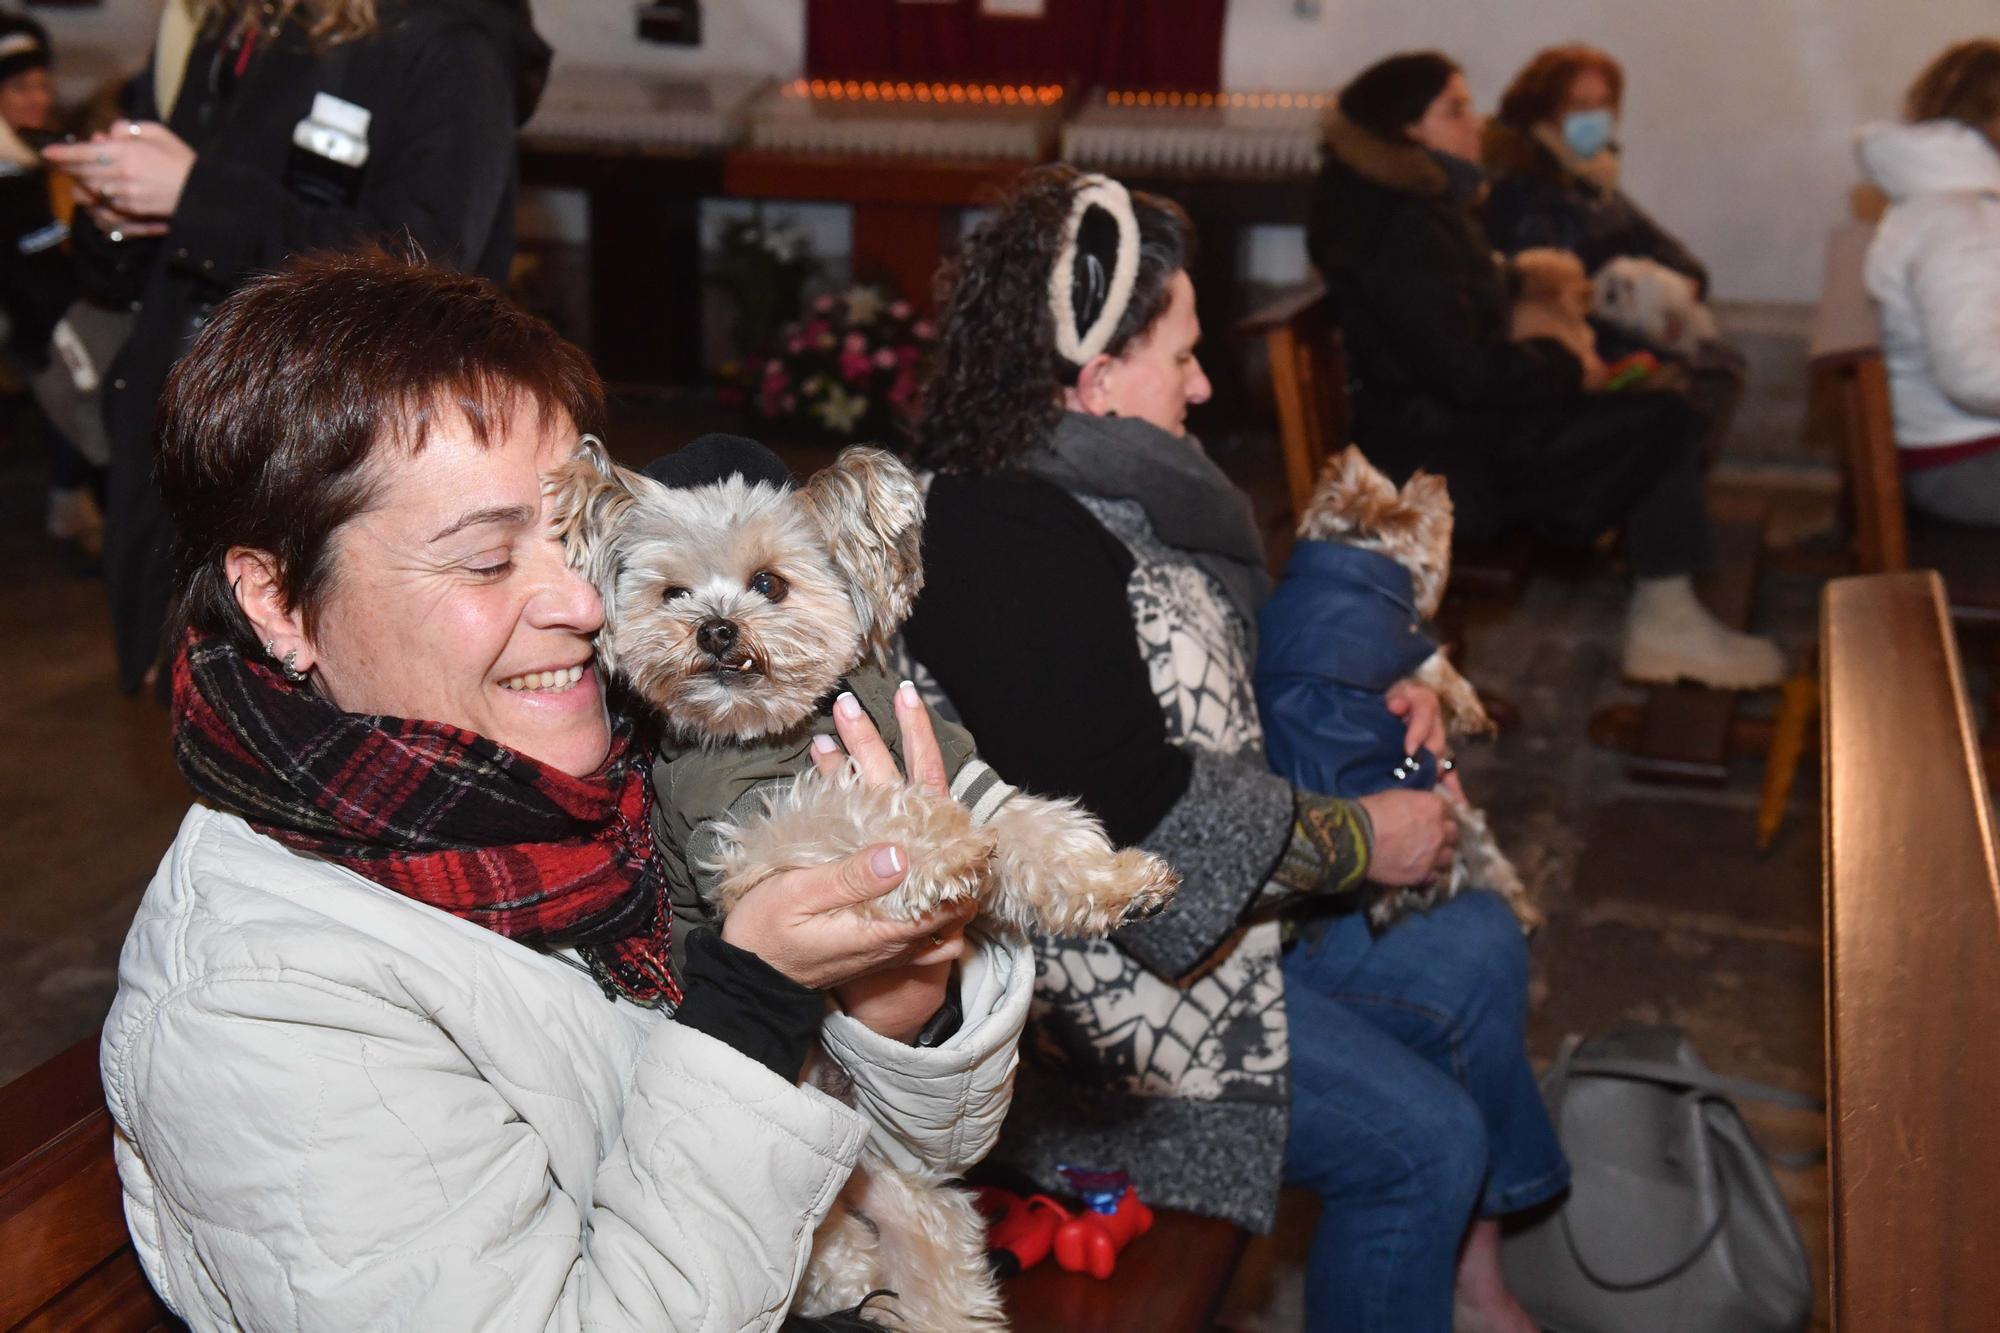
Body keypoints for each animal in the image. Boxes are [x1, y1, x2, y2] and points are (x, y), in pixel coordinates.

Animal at [552, 430, 1168, 1320]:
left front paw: (1115, 881)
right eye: (672, 591)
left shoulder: (952, 760)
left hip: (921, 1210)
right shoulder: (747, 836)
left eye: (768, 582)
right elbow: (847, 809)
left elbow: (1028, 827)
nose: (714, 629)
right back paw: (844, 1267)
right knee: (826, 1248)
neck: (778, 729)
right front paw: (937, 850)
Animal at [1264, 440, 1544, 928]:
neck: (1348, 557)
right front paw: (1475, 717)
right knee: (1494, 867)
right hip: (1459, 816)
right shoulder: (1403, 644)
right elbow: (1448, 674)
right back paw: (1525, 913)